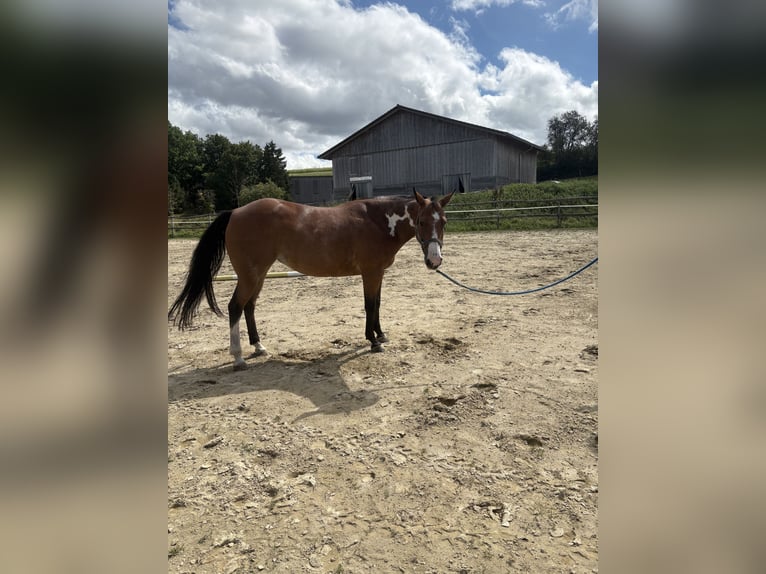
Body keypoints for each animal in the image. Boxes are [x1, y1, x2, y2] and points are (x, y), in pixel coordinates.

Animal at [169, 189, 454, 370]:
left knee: (249, 306)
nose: (435, 261)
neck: (378, 221)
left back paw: (259, 347)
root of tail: (236, 212)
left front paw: (381, 335)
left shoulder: (378, 273)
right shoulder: (370, 272)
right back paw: (238, 358)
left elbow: (378, 304)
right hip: (250, 275)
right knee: (235, 307)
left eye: (444, 222)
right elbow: (369, 305)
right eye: (421, 221)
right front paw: (373, 341)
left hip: (259, 275)